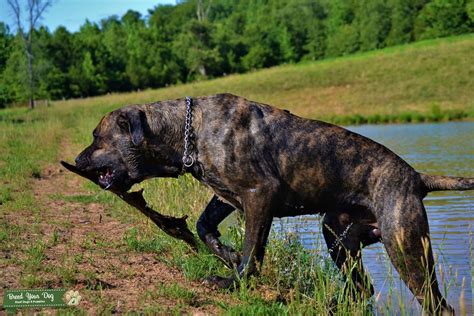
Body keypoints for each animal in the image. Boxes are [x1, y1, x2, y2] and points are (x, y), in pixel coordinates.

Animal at [76, 92, 472, 312]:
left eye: (97, 136)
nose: (78, 160)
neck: (188, 131)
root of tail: (417, 177)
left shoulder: (258, 194)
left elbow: (253, 250)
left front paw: (233, 280)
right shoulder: (226, 195)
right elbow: (205, 226)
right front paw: (225, 254)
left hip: (406, 248)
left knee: (436, 305)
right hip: (338, 235)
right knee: (363, 289)